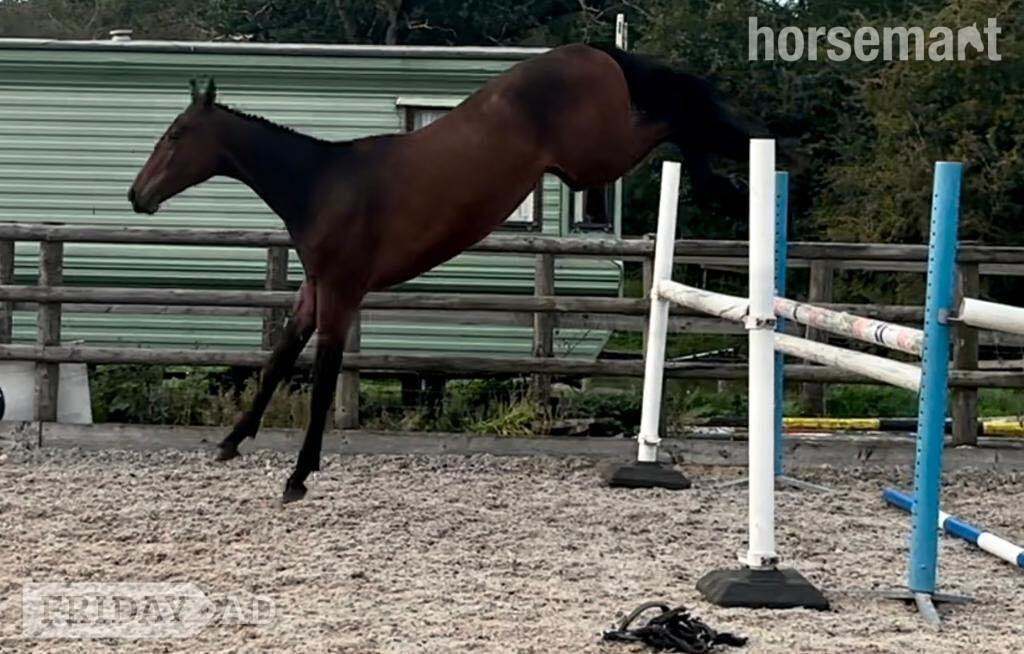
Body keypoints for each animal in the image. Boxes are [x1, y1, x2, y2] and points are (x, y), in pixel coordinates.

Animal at [127, 43, 758, 503]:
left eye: (176, 135)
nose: (138, 195)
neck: (322, 185)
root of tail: (590, 50)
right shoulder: (314, 291)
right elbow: (278, 360)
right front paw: (232, 442)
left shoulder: (343, 294)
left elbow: (323, 378)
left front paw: (298, 477)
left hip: (596, 158)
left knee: (677, 119)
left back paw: (729, 176)